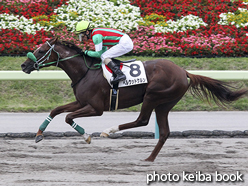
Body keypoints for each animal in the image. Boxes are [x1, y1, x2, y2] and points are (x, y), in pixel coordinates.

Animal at [20, 37, 246, 161]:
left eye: (41, 50)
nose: (24, 65)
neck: (85, 72)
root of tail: (184, 71)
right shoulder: (82, 102)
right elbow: (56, 110)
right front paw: (39, 134)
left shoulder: (96, 108)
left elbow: (68, 117)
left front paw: (87, 136)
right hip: (165, 104)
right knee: (164, 132)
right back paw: (149, 159)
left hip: (153, 95)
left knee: (142, 120)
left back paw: (108, 131)